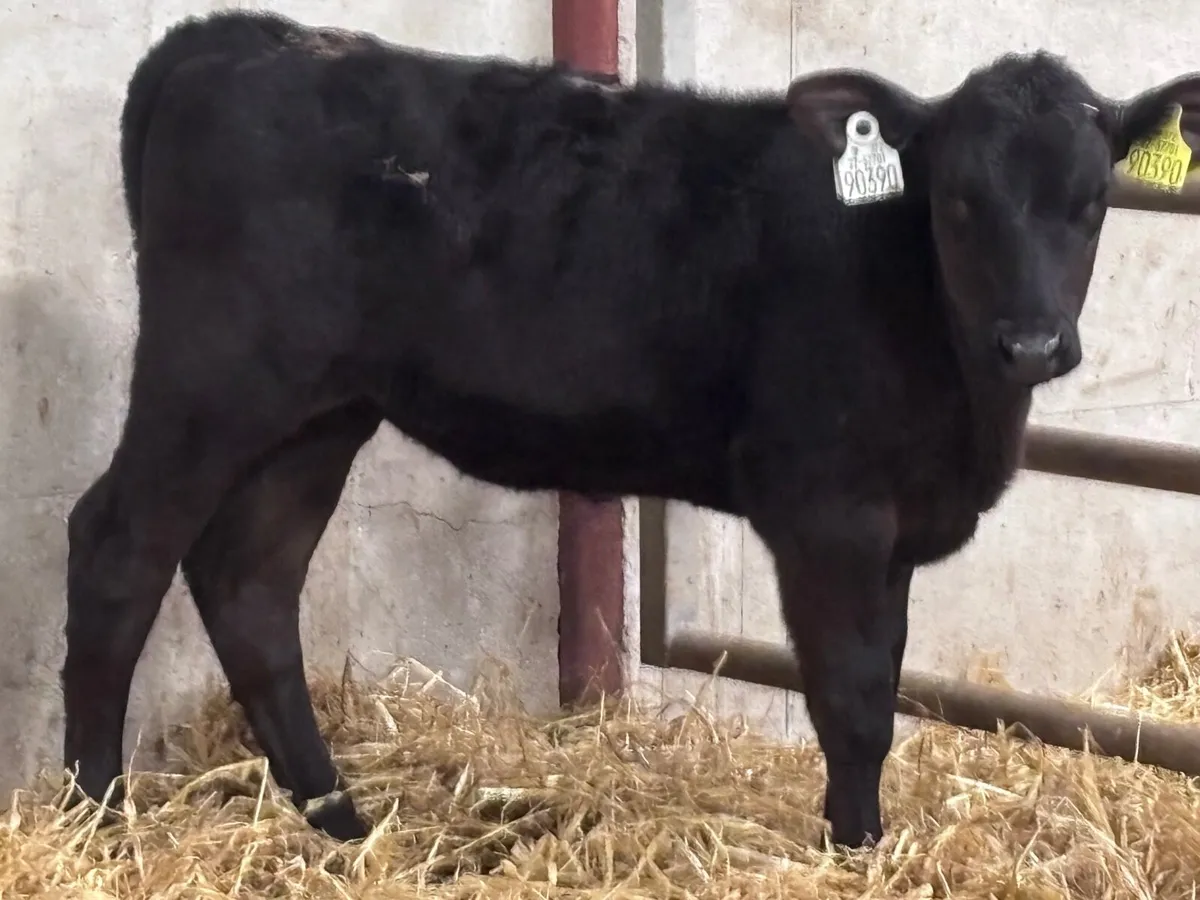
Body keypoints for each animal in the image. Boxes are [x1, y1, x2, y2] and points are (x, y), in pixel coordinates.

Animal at [60, 8, 1200, 849]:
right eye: (958, 200)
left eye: (1093, 200)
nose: (1032, 343)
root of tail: (238, 34)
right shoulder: (826, 508)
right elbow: (854, 696)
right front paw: (853, 851)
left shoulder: (896, 525)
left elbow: (883, 678)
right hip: (210, 378)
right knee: (118, 546)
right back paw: (96, 816)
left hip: (318, 412)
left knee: (251, 581)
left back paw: (341, 822)